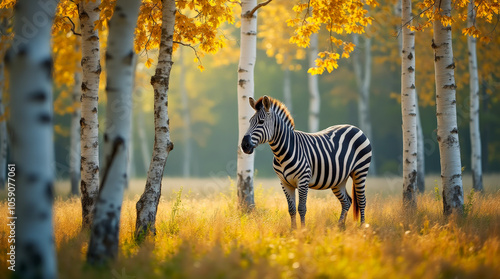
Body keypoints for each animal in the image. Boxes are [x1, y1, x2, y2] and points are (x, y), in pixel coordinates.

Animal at [242, 96, 372, 230]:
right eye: (249, 122)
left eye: (261, 122)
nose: (244, 145)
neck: (282, 152)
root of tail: (355, 128)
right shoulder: (285, 183)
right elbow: (291, 209)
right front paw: (293, 230)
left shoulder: (303, 180)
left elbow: (302, 208)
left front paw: (303, 230)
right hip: (339, 179)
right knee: (347, 201)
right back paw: (340, 227)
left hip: (360, 171)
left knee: (362, 200)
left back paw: (362, 227)